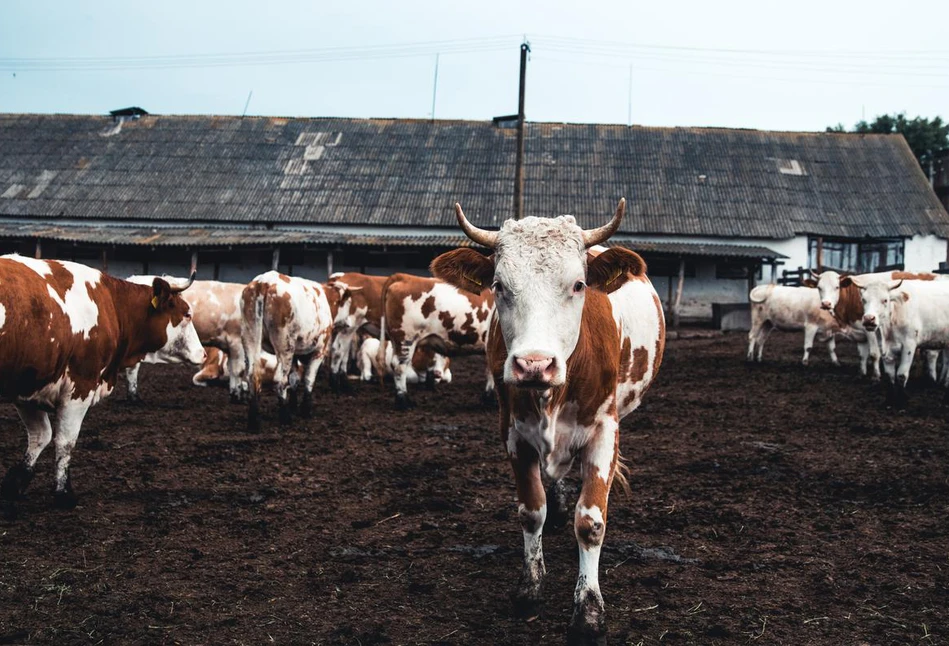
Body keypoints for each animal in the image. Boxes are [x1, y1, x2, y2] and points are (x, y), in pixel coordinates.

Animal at [0, 256, 204, 520]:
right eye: (187, 314)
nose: (203, 353)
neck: (111, 305)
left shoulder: (28, 385)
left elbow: (40, 436)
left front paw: (15, 483)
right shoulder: (80, 386)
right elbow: (65, 440)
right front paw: (63, 493)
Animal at [241, 270, 334, 432]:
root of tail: (264, 281)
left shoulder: (296, 354)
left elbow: (294, 378)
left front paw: (294, 406)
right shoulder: (319, 351)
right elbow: (308, 378)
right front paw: (305, 410)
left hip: (250, 335)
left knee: (253, 376)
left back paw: (254, 422)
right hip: (285, 345)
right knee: (280, 379)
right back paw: (285, 418)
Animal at [432, 200, 668, 644]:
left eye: (578, 285)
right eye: (499, 285)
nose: (534, 364)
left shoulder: (605, 430)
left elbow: (591, 521)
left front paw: (589, 612)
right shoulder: (513, 432)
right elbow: (531, 509)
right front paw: (530, 586)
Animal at [848, 278, 949, 410]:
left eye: (885, 300)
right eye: (863, 299)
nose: (869, 319)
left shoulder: (909, 344)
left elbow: (901, 374)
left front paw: (901, 402)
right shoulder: (884, 347)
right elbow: (889, 375)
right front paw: (889, 401)